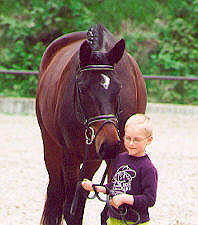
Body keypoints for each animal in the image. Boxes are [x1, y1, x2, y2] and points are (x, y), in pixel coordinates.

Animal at [36, 23, 147, 224]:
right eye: (82, 89)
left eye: (119, 87)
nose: (110, 144)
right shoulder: (70, 156)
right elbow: (71, 210)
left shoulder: (116, 154)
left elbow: (112, 210)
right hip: (51, 146)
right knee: (57, 193)